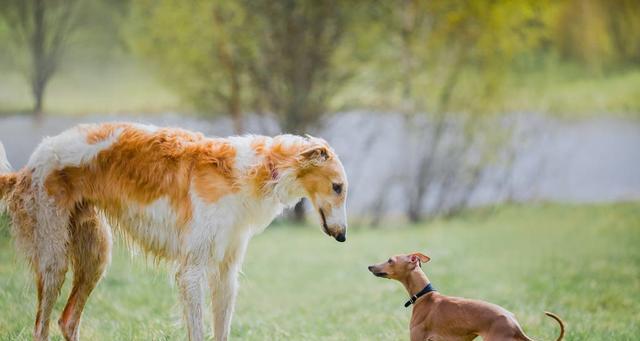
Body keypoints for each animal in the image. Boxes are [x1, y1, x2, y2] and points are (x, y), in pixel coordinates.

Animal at [0, 123, 350, 340]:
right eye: (337, 187)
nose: (343, 236)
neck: (255, 171)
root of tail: (28, 167)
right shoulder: (192, 271)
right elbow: (197, 329)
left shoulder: (226, 272)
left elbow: (221, 329)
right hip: (54, 259)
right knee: (41, 327)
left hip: (95, 255)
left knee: (67, 320)